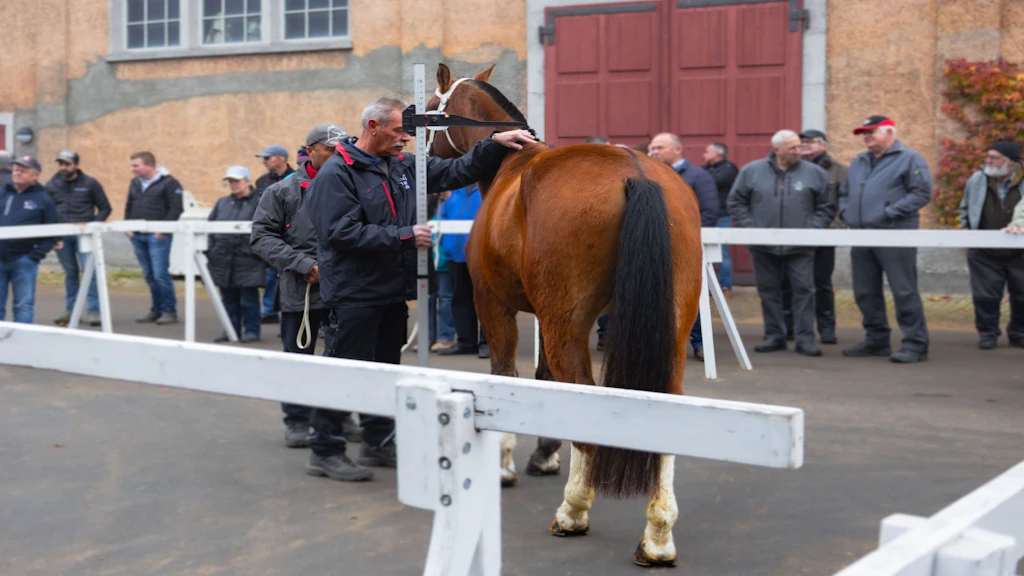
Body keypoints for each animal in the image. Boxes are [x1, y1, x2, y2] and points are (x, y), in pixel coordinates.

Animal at [427, 63, 703, 567]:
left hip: (565, 323)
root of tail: (635, 173)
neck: (511, 167)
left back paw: (573, 510)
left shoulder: (493, 304)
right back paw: (657, 535)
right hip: (664, 327)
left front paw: (506, 463)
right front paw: (545, 453)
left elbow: (509, 376)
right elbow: (543, 379)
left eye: (434, 105)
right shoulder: (545, 313)